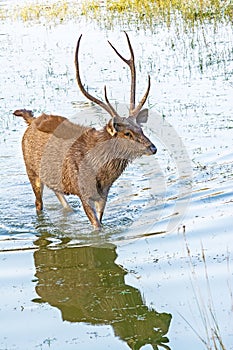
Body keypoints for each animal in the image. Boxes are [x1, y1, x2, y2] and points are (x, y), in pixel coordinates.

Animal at [13, 32, 157, 230]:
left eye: (140, 128)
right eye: (127, 133)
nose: (153, 148)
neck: (101, 173)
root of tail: (31, 120)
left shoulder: (103, 194)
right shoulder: (82, 191)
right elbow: (97, 226)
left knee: (59, 195)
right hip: (31, 171)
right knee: (38, 204)